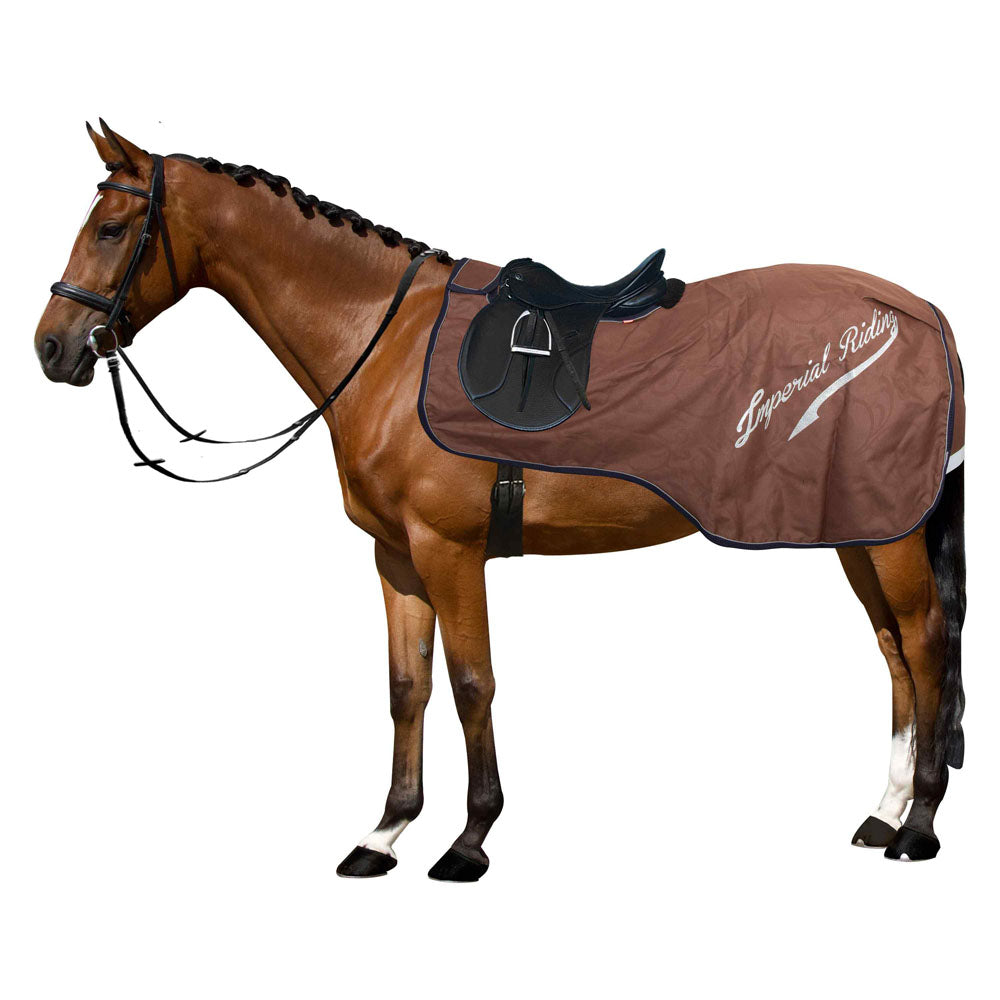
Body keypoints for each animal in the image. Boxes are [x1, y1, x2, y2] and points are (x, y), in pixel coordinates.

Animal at [34, 122, 966, 880]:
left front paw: (468, 841)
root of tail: (920, 313)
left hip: (887, 535)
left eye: (111, 229)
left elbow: (471, 682)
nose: (52, 346)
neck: (387, 342)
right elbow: (405, 686)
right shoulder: (396, 557)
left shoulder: (450, 550)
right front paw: (385, 834)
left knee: (924, 644)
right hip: (857, 529)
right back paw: (882, 815)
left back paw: (919, 826)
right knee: (892, 653)